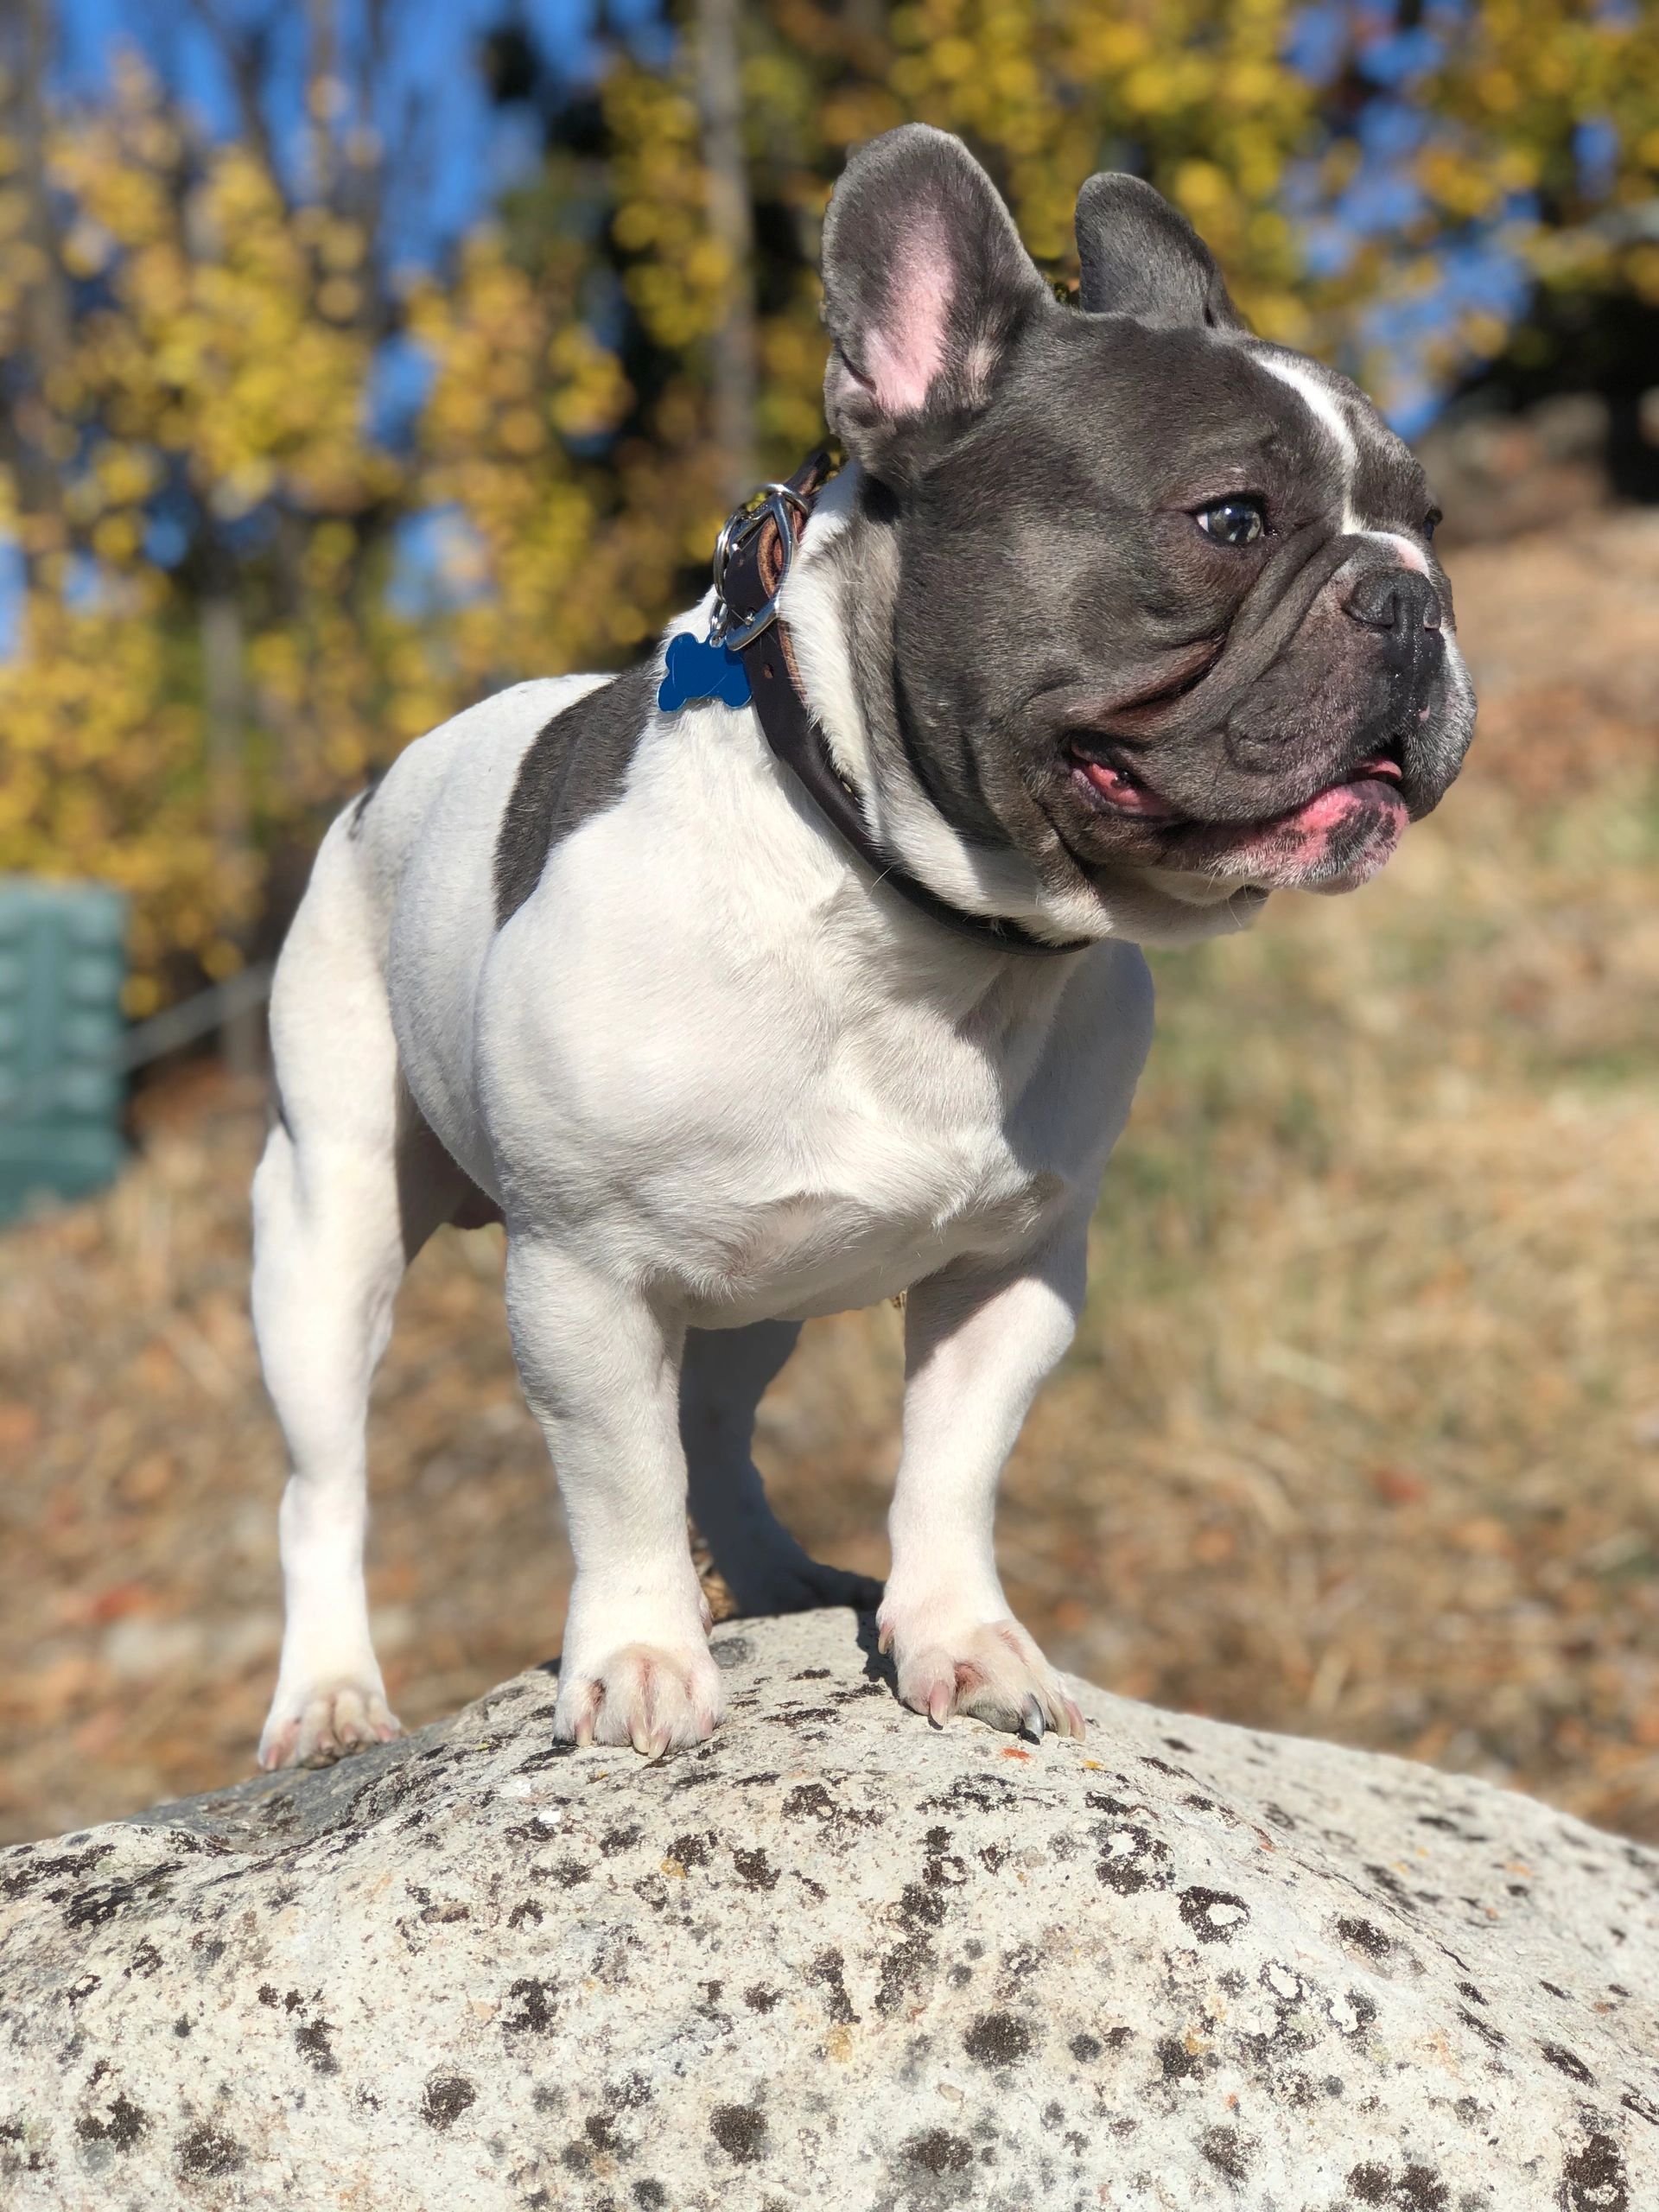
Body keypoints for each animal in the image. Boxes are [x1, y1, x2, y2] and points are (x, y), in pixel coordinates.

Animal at [253, 125, 1478, 1778]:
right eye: (1229, 519)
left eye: (1432, 521)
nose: (1411, 592)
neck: (921, 929)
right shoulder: (581, 1277)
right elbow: (615, 1484)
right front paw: (637, 1658)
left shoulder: (1014, 1272)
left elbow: (949, 1469)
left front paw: (963, 1641)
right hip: (326, 1227)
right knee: (328, 1481)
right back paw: (327, 1695)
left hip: (757, 1281)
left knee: (715, 1425)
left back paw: (770, 1578)